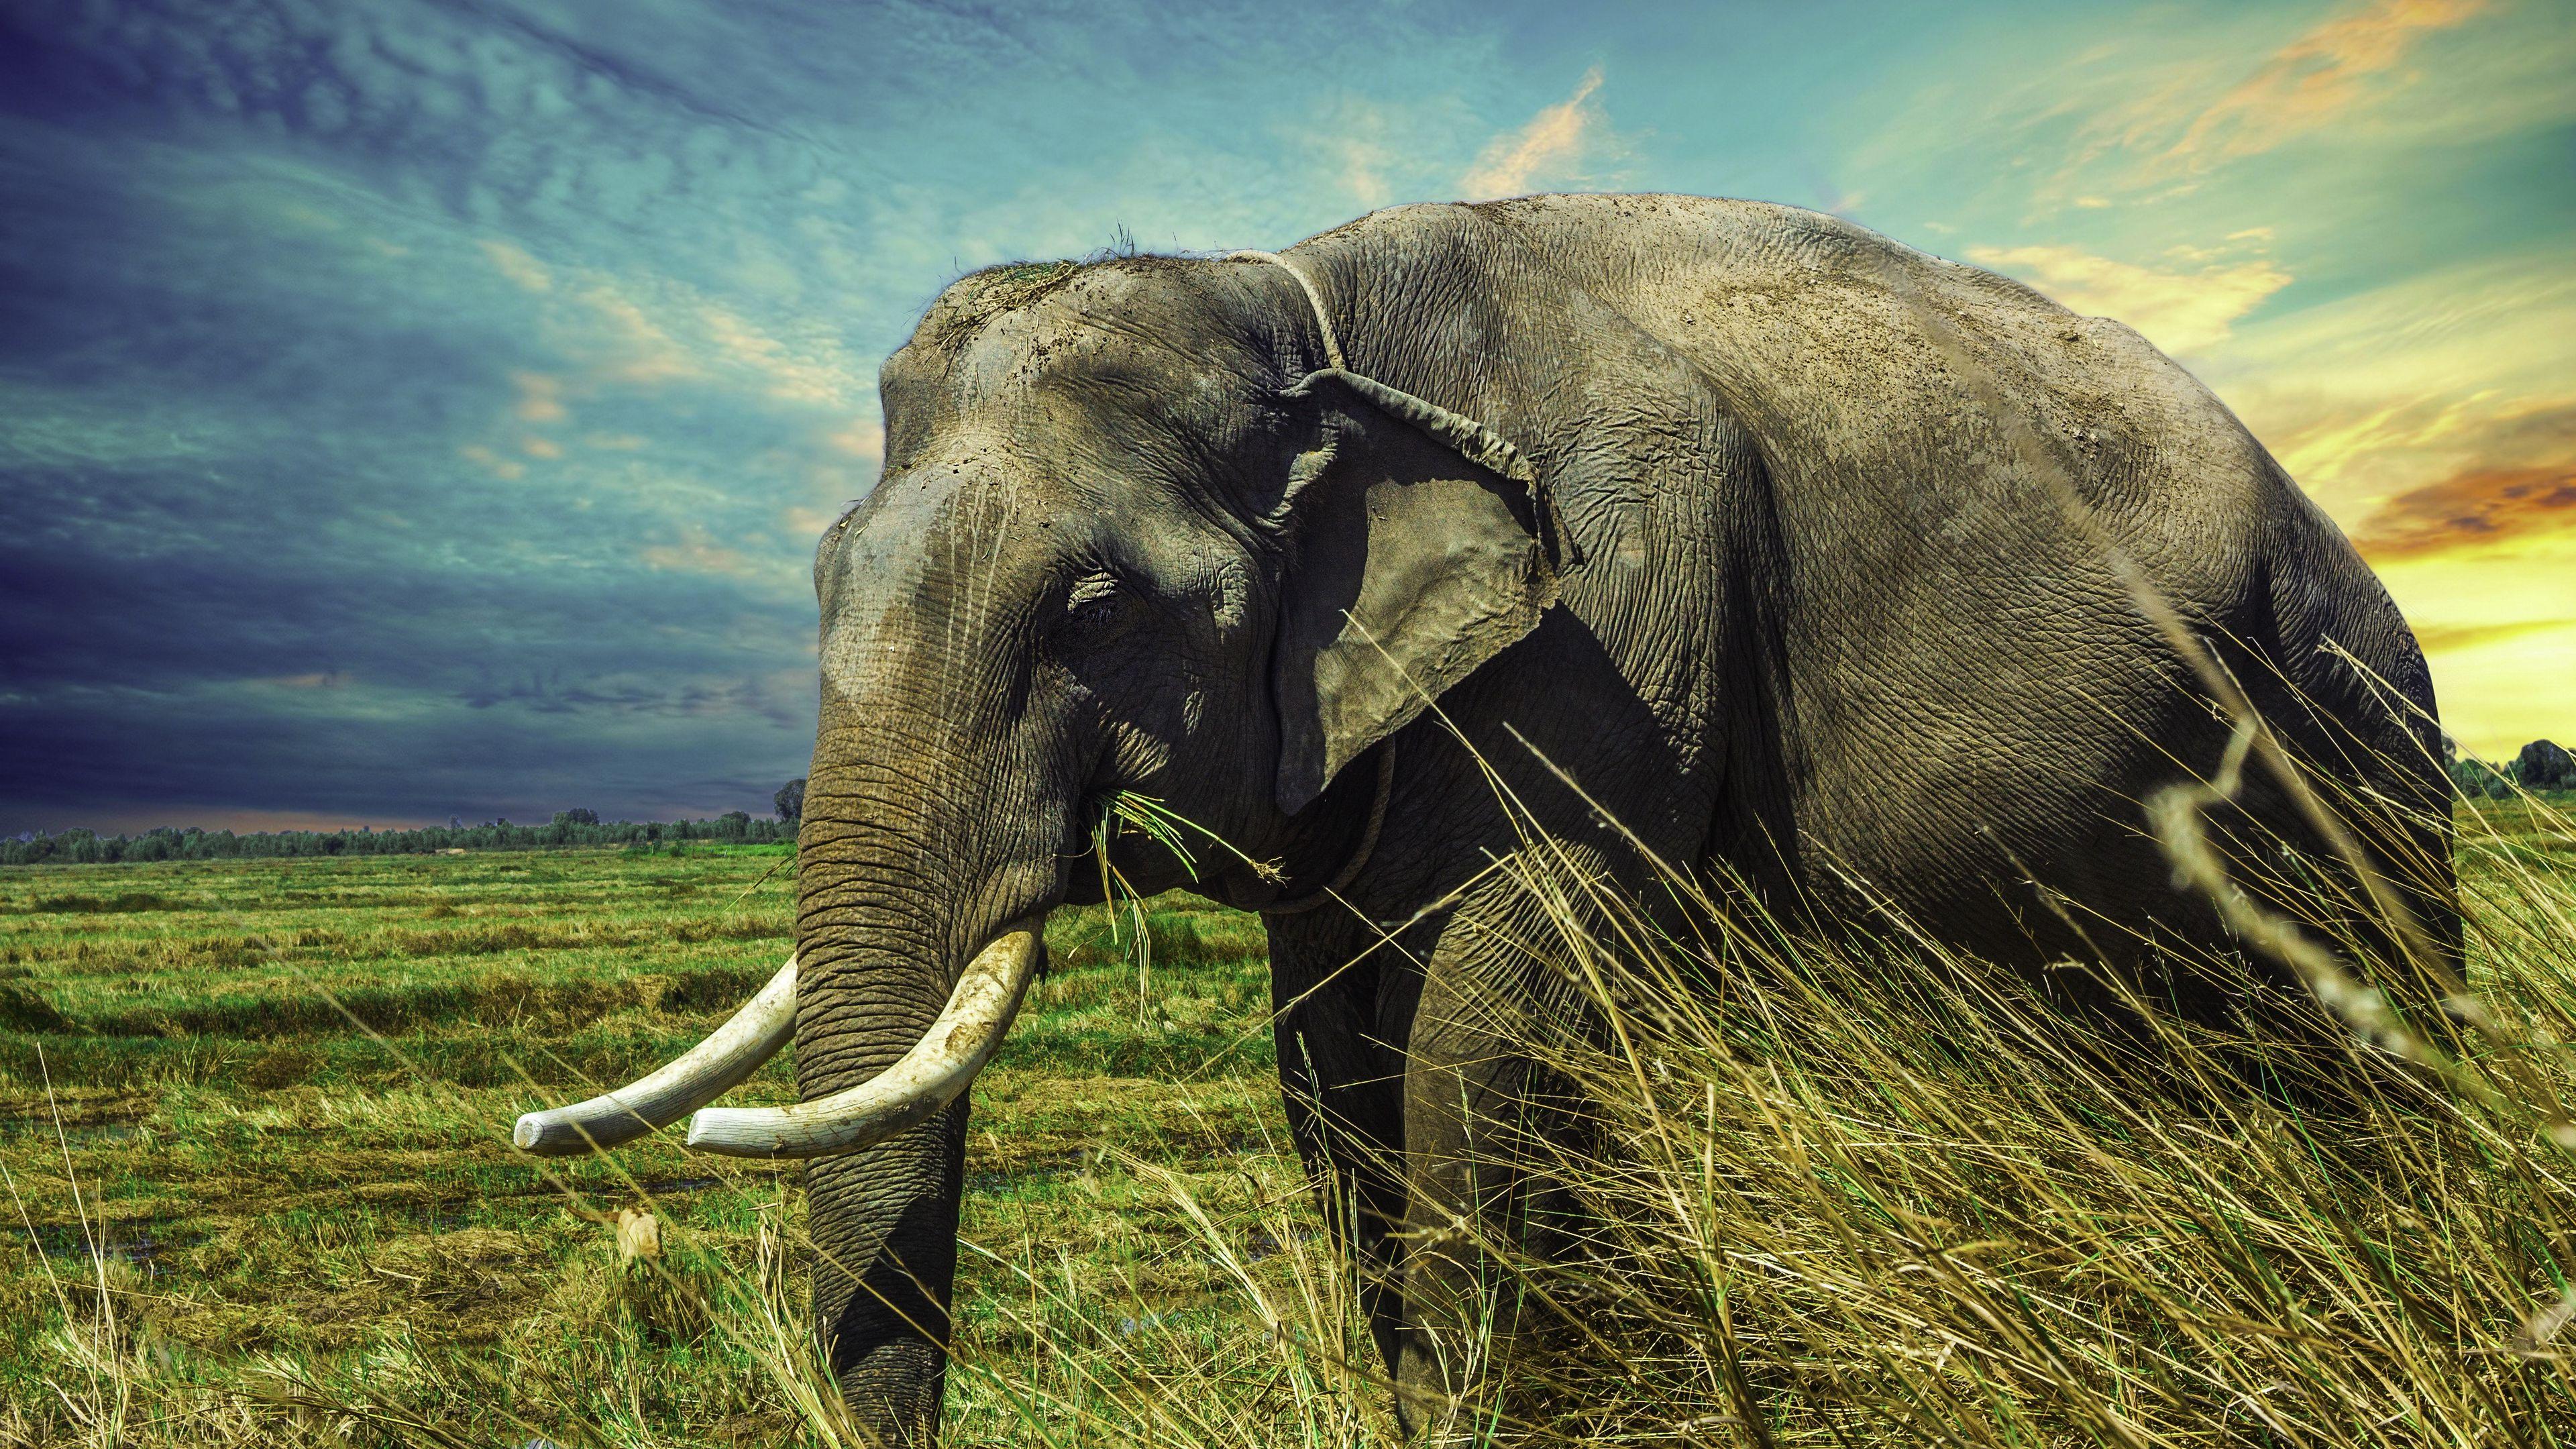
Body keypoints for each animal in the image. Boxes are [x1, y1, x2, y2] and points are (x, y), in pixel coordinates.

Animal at [510, 194, 2459, 1443]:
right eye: (820, 578)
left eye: (1093, 607)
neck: (1297, 299)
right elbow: (1330, 1059)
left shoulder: (1616, 611)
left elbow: (1486, 1023)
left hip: (2362, 731)